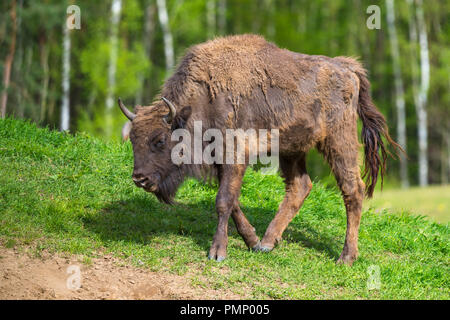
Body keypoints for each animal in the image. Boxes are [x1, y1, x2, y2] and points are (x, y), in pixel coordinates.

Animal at [118, 34, 400, 264]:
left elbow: (223, 201)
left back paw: (346, 257)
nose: (139, 179)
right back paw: (267, 243)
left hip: (338, 141)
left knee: (352, 190)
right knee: (300, 186)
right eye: (132, 139)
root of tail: (347, 68)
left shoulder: (233, 154)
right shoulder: (223, 160)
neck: (204, 99)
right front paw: (252, 242)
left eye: (159, 140)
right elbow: (232, 201)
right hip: (291, 149)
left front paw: (217, 252)